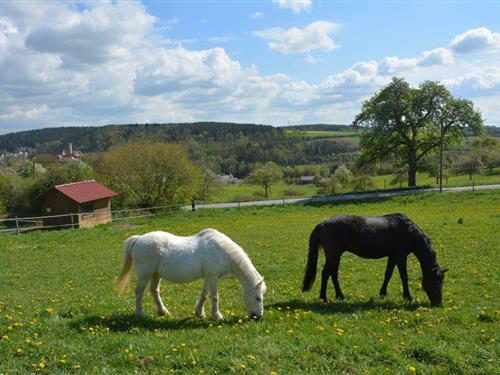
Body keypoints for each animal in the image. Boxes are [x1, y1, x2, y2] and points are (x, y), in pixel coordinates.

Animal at [115, 229, 268, 320]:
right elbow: (214, 297)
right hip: (145, 275)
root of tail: (139, 239)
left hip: (156, 274)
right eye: (258, 297)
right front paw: (217, 315)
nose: (259, 316)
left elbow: (204, 295)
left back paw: (163, 311)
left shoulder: (209, 277)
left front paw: (199, 313)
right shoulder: (213, 277)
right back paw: (139, 313)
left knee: (154, 291)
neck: (221, 251)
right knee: (139, 292)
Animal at [300, 213, 450, 306]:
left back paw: (340, 296)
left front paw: (383, 293)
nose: (438, 303)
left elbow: (388, 274)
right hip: (334, 254)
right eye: (434, 281)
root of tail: (324, 223)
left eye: (442, 282)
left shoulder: (393, 256)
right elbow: (404, 277)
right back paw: (323, 298)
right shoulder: (400, 256)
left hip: (335, 256)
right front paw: (408, 296)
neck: (408, 231)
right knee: (326, 273)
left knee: (333, 274)